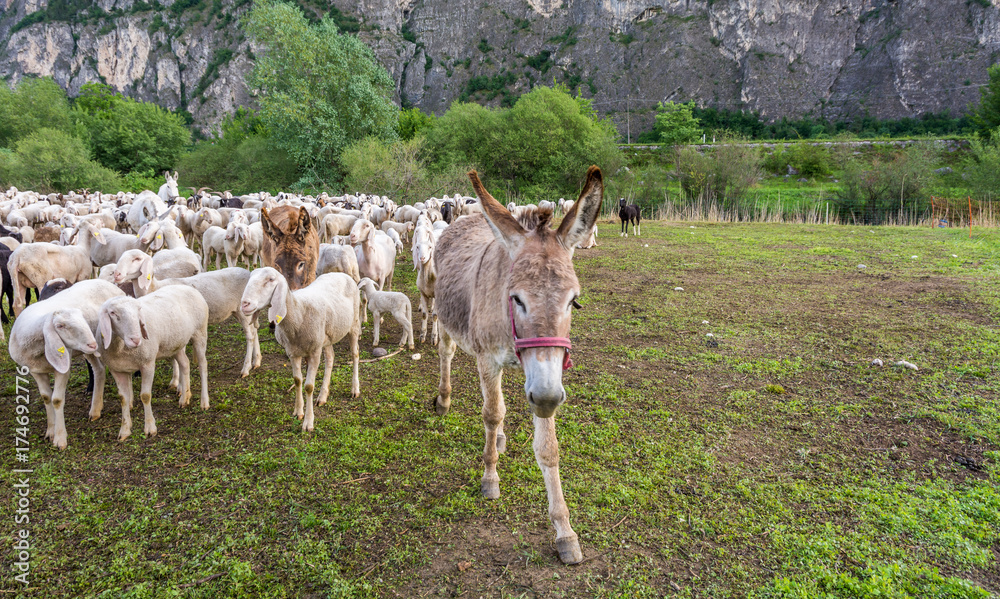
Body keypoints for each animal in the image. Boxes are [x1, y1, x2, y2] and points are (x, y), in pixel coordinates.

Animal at [8, 279, 125, 449]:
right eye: (60, 326)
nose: (93, 344)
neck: (39, 350)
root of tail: (105, 281)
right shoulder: (35, 371)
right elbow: (46, 397)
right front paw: (50, 432)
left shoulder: (62, 369)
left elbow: (57, 399)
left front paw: (60, 439)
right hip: (84, 350)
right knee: (99, 370)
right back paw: (95, 409)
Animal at [97, 285, 211, 441]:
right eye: (113, 313)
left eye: (138, 311)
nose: (136, 340)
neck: (121, 347)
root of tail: (187, 286)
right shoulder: (117, 370)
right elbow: (123, 399)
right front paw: (124, 430)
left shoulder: (148, 363)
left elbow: (145, 396)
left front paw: (150, 429)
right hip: (176, 343)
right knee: (185, 363)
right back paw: (185, 397)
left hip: (200, 332)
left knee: (203, 365)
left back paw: (204, 402)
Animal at [112, 249, 261, 378]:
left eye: (137, 259)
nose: (116, 274)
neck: (155, 287)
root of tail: (248, 273)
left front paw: (176, 382)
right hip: (241, 311)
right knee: (254, 331)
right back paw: (256, 361)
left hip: (243, 311)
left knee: (249, 336)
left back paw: (246, 368)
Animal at [240, 267, 361, 431]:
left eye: (270, 279)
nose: (244, 304)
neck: (298, 312)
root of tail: (339, 273)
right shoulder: (292, 352)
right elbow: (297, 380)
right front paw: (298, 411)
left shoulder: (314, 352)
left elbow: (309, 386)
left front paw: (308, 423)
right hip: (327, 336)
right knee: (330, 358)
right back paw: (322, 396)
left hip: (354, 323)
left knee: (355, 354)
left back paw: (355, 389)